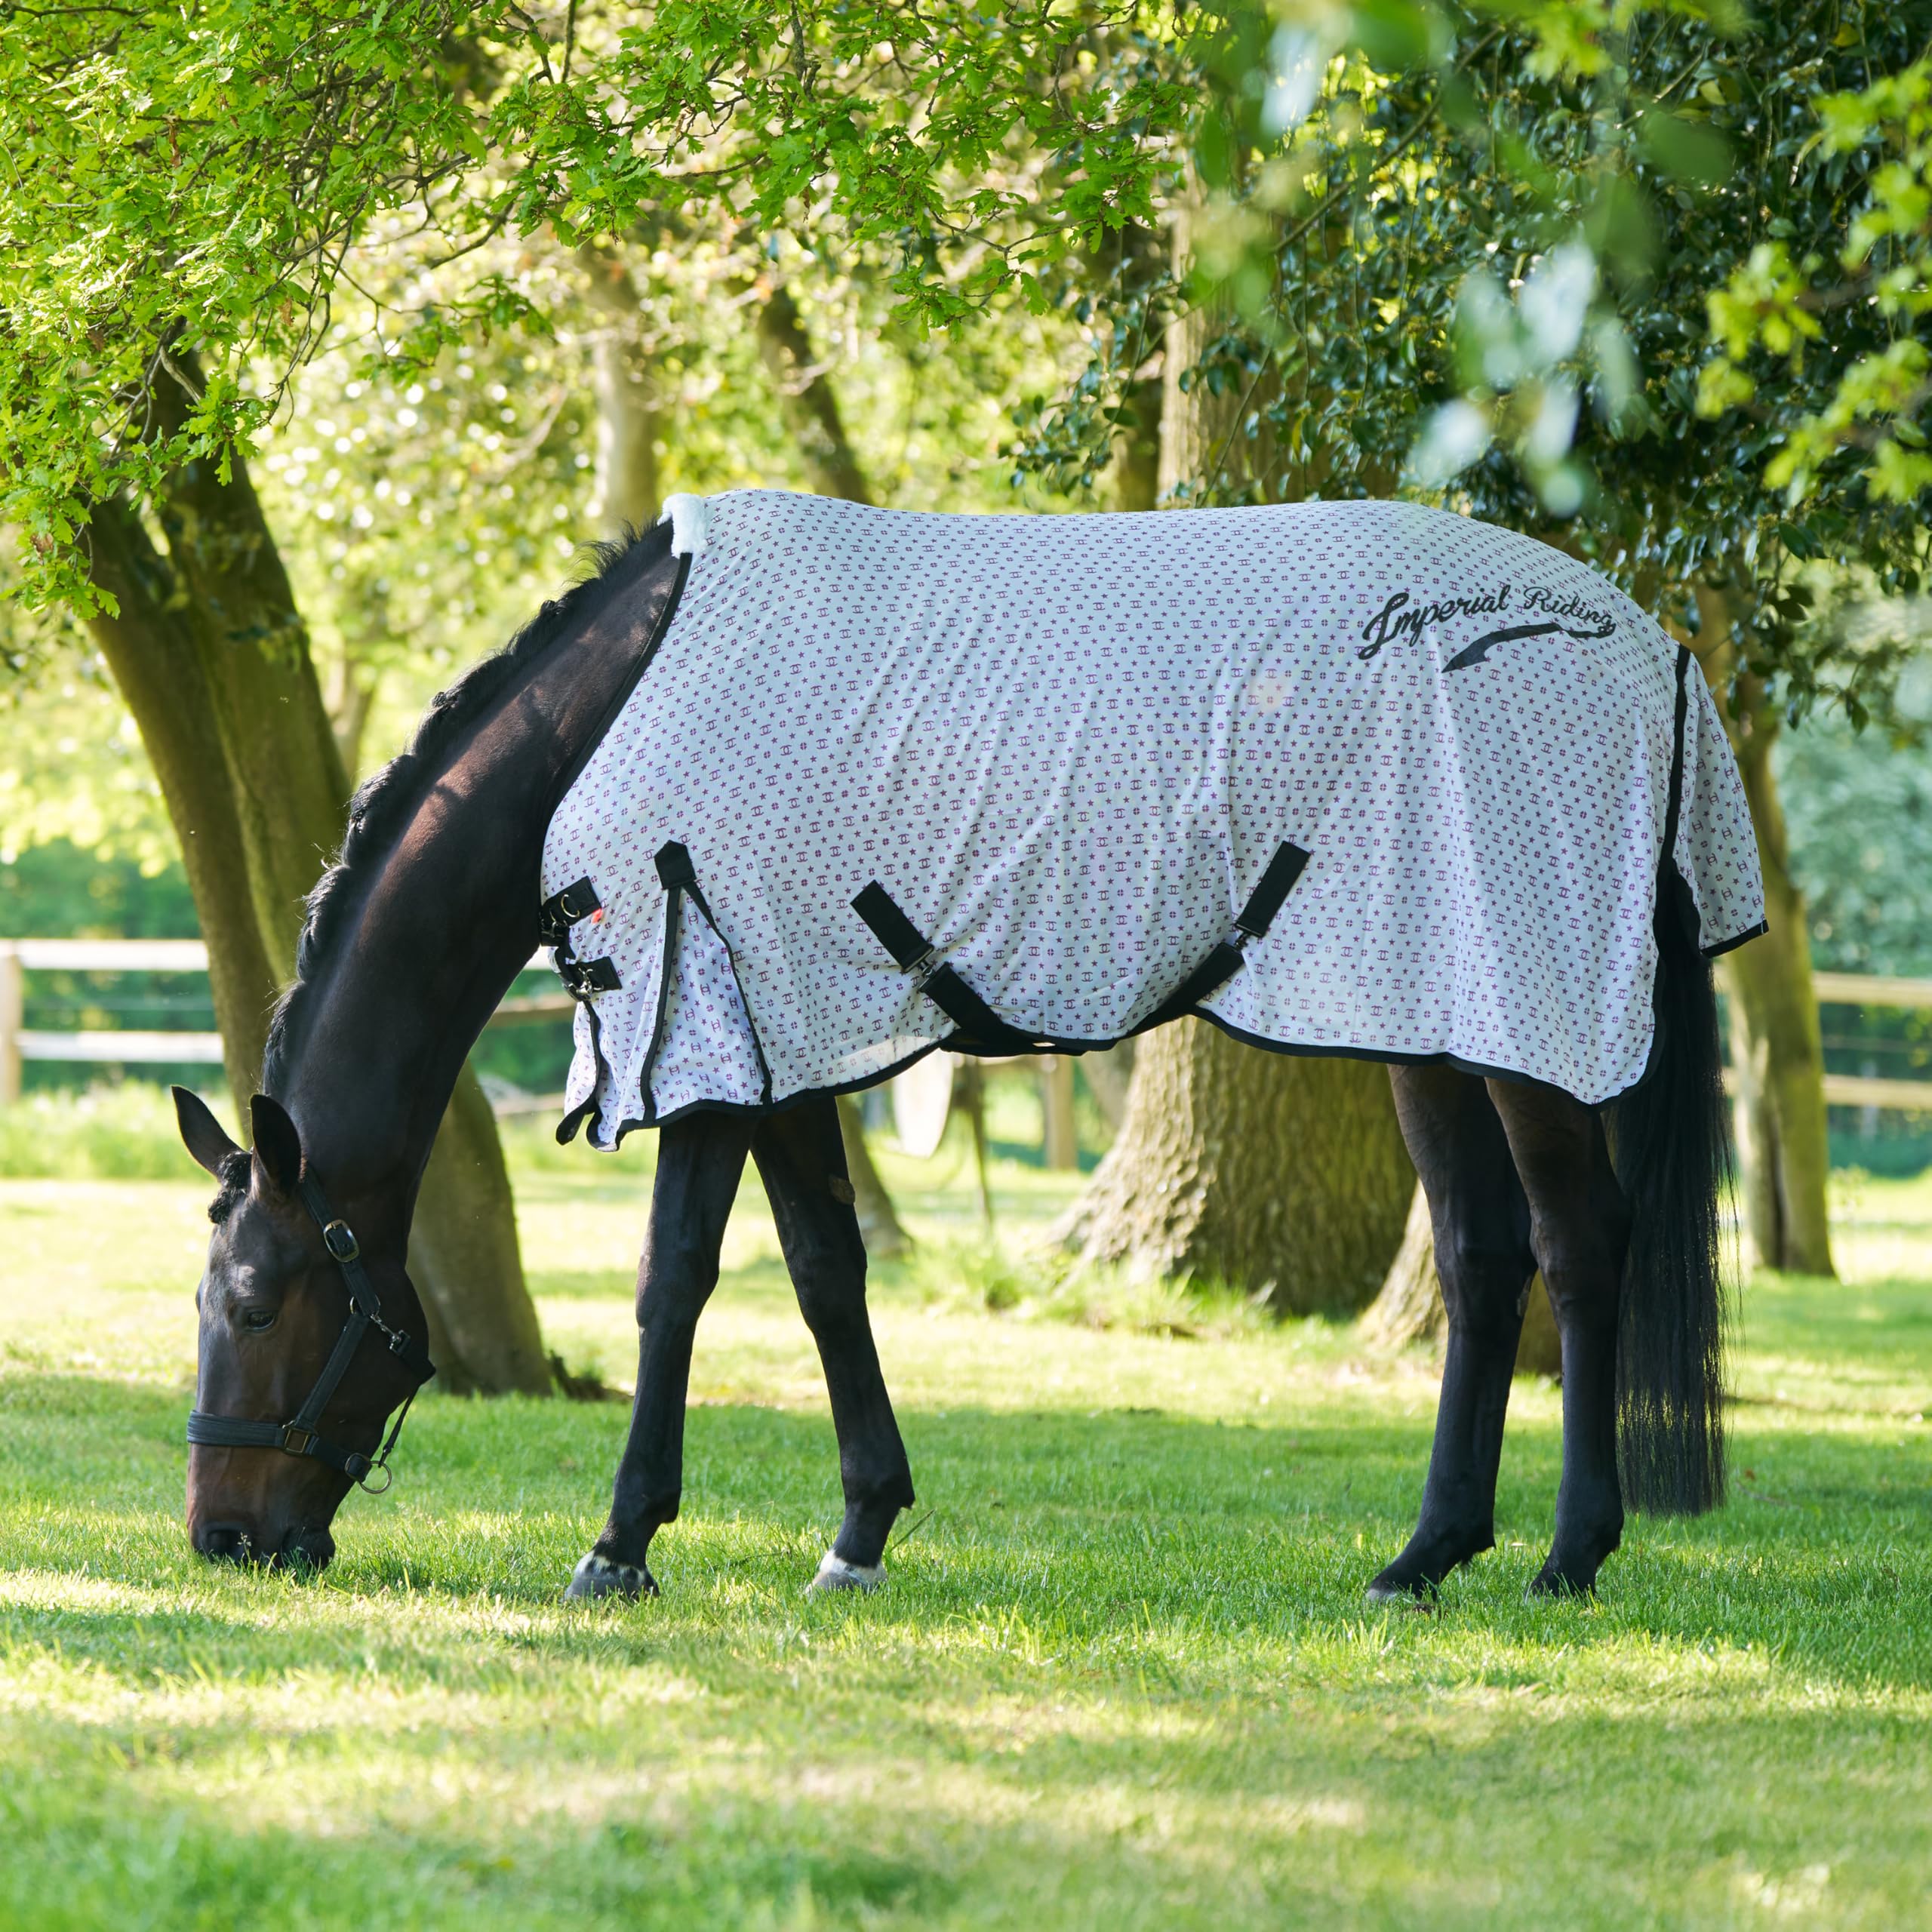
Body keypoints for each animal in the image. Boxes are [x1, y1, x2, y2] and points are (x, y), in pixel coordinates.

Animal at [170, 491, 1760, 1602]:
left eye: (253, 1300)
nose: (223, 1538)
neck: (614, 720)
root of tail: (1649, 649)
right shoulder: (784, 1043)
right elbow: (824, 1272)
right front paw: (860, 1530)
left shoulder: (710, 1046)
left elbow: (674, 1283)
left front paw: (621, 1546)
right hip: (1421, 1019)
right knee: (1485, 1262)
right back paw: (1426, 1556)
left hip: (1519, 1023)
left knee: (1577, 1246)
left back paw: (1569, 1555)